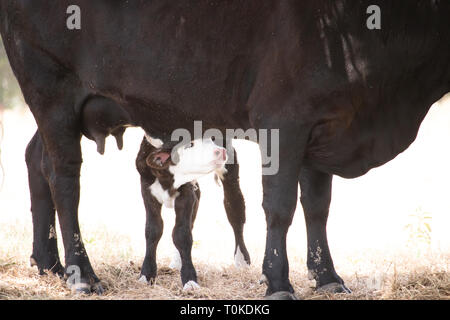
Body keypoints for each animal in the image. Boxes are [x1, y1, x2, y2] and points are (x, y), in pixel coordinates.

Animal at [0, 1, 450, 298]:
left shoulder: (323, 129)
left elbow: (317, 207)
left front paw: (328, 278)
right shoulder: (284, 122)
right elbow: (280, 208)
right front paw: (279, 281)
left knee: (36, 159)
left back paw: (49, 262)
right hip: (52, 93)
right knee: (64, 179)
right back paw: (82, 275)